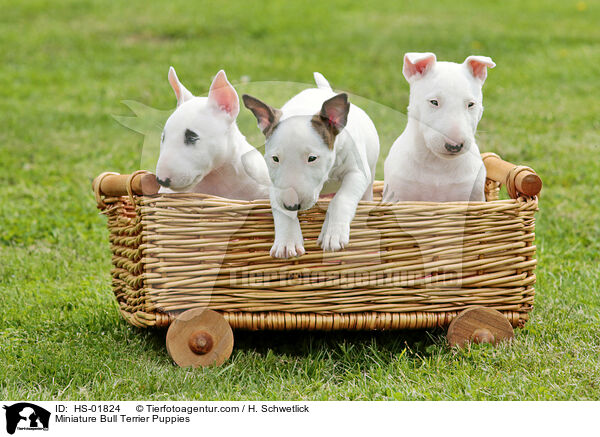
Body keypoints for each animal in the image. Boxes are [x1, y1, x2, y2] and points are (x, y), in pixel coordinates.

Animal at [241, 70, 378, 255]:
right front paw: (287, 242)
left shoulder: (358, 172)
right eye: (275, 158)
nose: (292, 205)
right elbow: (279, 209)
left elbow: (342, 198)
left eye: (312, 158)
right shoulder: (274, 182)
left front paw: (333, 234)